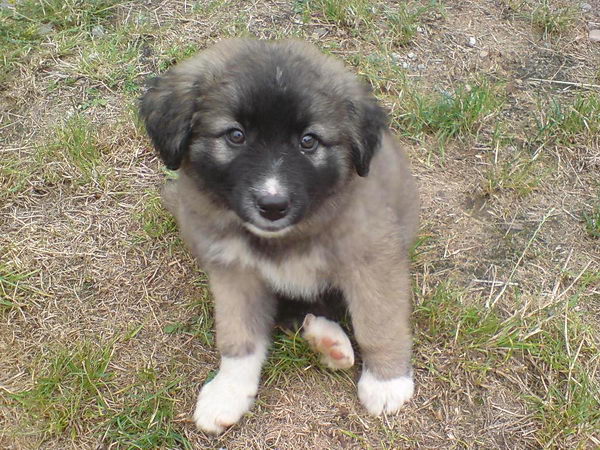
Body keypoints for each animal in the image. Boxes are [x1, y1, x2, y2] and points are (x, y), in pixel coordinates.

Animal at [141, 40, 420, 434]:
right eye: (236, 135)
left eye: (308, 141)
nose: (272, 205)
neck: (286, 238)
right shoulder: (233, 270)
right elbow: (237, 334)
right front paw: (228, 390)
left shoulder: (372, 257)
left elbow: (378, 322)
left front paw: (387, 381)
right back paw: (326, 340)